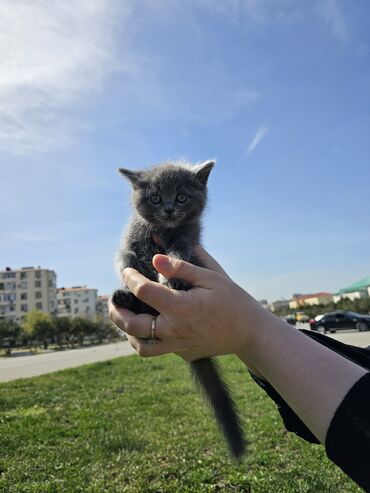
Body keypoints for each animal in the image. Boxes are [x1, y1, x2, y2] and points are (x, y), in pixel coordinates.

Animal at [112, 160, 246, 458]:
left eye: (182, 197)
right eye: (155, 198)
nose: (170, 208)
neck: (164, 229)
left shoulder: (189, 238)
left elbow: (178, 252)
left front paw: (170, 276)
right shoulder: (131, 236)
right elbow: (125, 255)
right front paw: (130, 267)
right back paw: (124, 298)